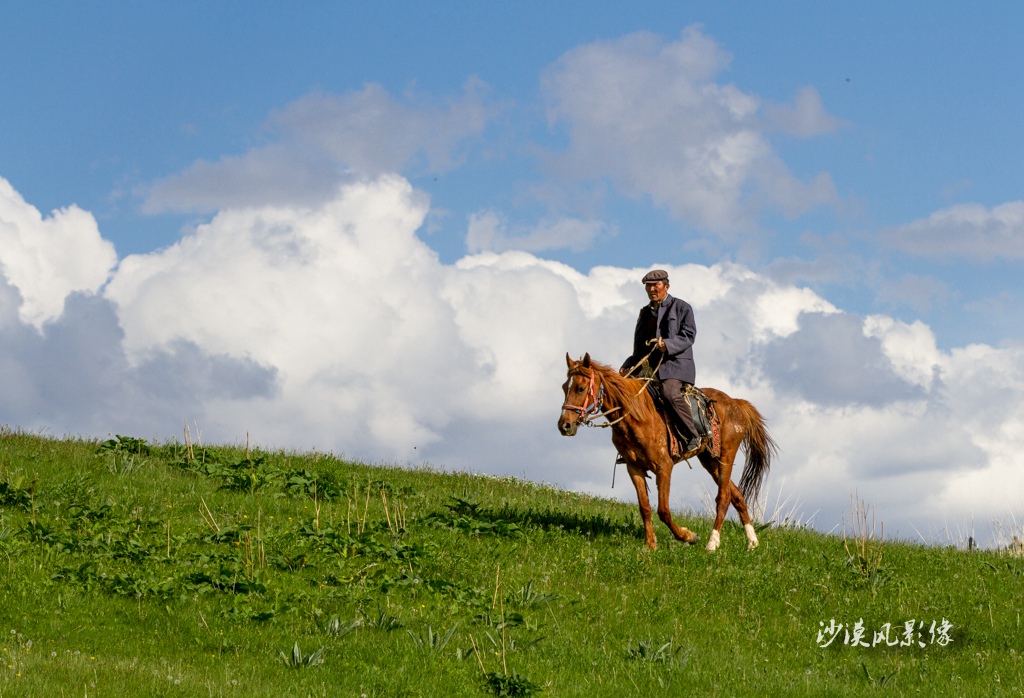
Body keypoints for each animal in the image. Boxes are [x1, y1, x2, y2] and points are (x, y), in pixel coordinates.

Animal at [561, 354, 774, 548]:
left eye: (581, 388)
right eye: (564, 387)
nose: (564, 425)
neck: (637, 416)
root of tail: (737, 403)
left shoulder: (664, 467)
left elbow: (663, 510)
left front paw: (688, 536)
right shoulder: (634, 467)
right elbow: (645, 507)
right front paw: (650, 545)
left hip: (726, 457)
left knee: (723, 497)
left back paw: (712, 543)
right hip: (710, 460)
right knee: (736, 494)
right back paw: (752, 542)